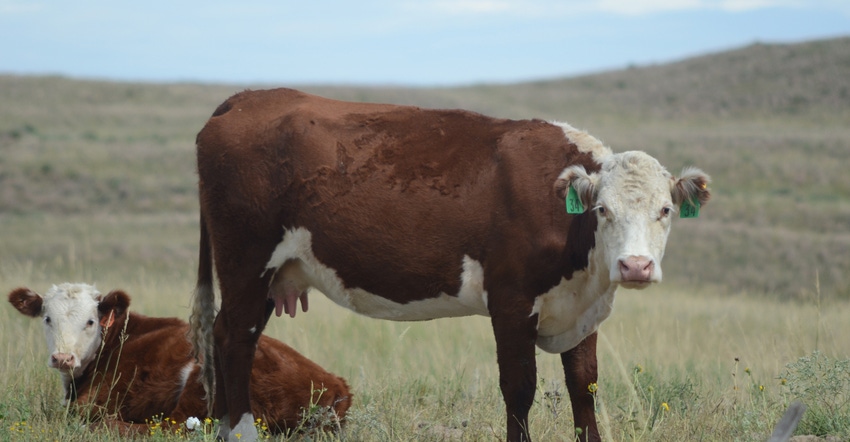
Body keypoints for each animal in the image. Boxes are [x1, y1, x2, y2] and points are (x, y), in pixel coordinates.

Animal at [7, 284, 352, 436]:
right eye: (47, 318)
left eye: (91, 321)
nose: (63, 357)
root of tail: (338, 385)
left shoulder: (96, 400)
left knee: (173, 428)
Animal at [190, 87, 708, 442]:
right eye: (603, 210)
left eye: (665, 210)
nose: (635, 267)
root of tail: (249, 98)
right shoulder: (511, 301)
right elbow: (519, 387)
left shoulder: (581, 309)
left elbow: (584, 387)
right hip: (245, 260)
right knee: (235, 340)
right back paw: (241, 432)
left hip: (271, 273)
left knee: (227, 333)